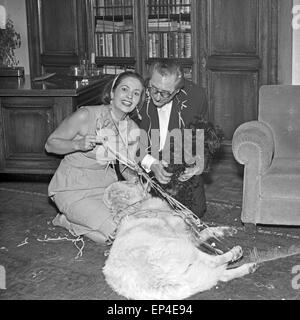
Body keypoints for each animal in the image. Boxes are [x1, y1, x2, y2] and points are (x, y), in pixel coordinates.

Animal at [102, 182, 256, 300]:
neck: (134, 209)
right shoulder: (187, 235)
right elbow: (204, 231)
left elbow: (208, 231)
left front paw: (226, 230)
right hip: (184, 248)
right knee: (213, 262)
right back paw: (234, 254)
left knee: (220, 275)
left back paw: (248, 267)